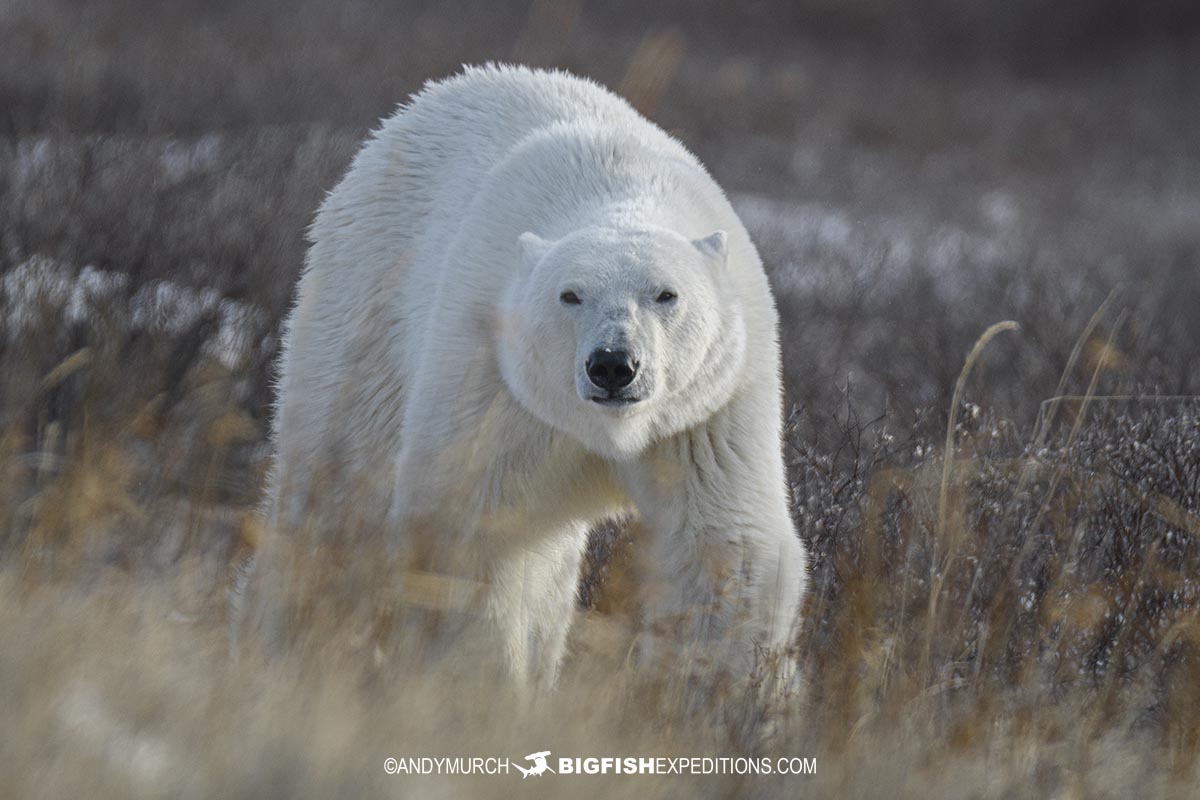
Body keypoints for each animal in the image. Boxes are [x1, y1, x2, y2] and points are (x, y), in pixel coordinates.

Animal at [240, 64, 807, 686]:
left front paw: (723, 690)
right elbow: (470, 528)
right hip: (366, 310)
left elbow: (723, 540)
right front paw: (479, 682)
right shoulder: (495, 375)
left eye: (666, 294)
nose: (613, 365)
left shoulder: (706, 407)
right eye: (570, 295)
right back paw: (286, 644)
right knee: (336, 494)